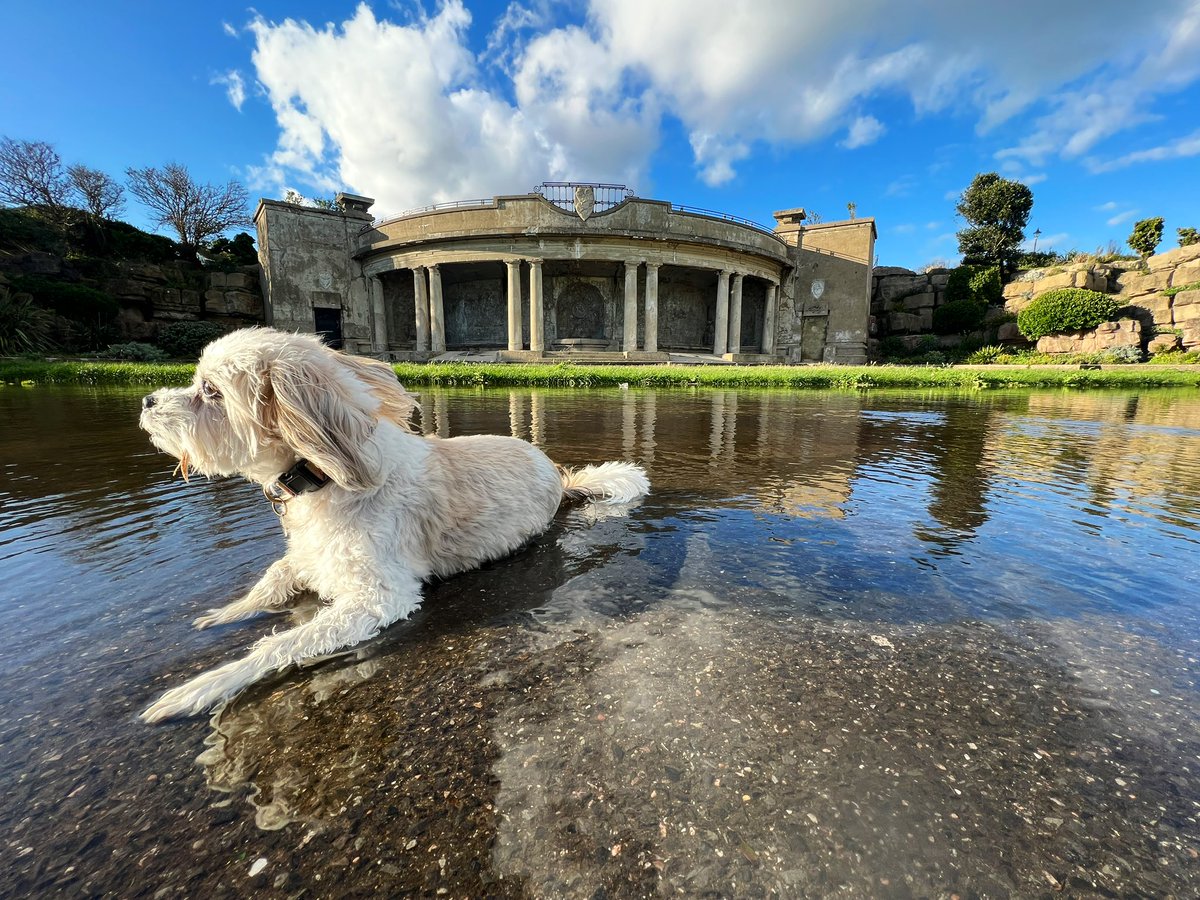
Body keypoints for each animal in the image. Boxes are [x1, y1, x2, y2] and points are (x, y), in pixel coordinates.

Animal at [136, 328, 652, 724]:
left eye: (211, 391)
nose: (147, 400)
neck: (324, 478)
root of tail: (559, 477)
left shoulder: (378, 598)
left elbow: (280, 644)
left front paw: (206, 685)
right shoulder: (310, 554)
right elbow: (275, 576)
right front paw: (226, 613)